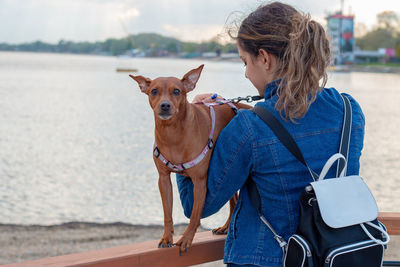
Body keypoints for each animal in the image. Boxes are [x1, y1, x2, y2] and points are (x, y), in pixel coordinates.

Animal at [130, 65, 248, 253]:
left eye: (177, 91)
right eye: (154, 91)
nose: (165, 105)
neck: (172, 133)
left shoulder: (199, 181)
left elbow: (194, 216)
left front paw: (186, 238)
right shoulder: (163, 179)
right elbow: (167, 214)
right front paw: (167, 237)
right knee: (234, 201)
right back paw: (225, 227)